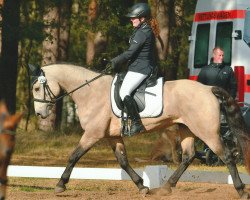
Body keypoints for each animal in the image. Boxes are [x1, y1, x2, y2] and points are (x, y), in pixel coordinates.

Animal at [29, 64, 250, 198]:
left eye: (37, 88)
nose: (40, 114)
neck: (90, 92)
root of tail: (208, 88)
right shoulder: (112, 136)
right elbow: (123, 161)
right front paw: (142, 186)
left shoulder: (93, 134)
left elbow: (74, 156)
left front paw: (60, 185)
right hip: (186, 129)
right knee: (188, 156)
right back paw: (166, 187)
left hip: (207, 132)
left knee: (227, 156)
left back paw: (241, 190)